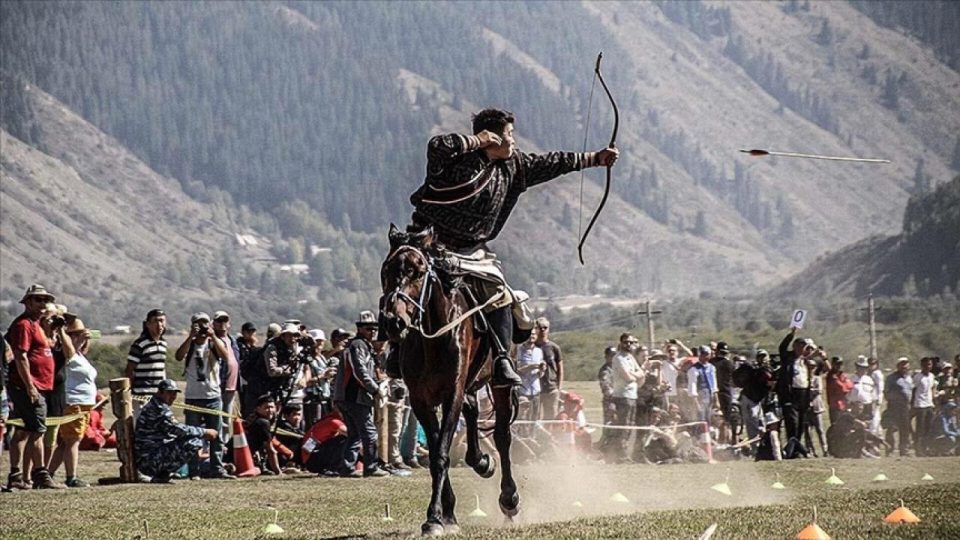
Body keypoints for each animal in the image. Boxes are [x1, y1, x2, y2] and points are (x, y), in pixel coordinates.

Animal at [380, 225, 520, 536]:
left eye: (418, 271)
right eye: (386, 270)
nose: (393, 322)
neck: (433, 339)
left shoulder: (451, 393)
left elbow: (442, 453)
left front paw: (435, 518)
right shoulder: (421, 400)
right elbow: (435, 452)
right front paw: (445, 515)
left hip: (498, 384)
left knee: (502, 436)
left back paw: (509, 499)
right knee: (473, 412)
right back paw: (481, 462)